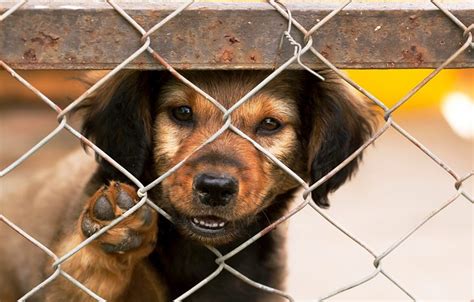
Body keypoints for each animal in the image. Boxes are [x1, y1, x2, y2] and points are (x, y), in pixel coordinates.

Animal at [0, 69, 378, 300]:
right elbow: (80, 275)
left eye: (270, 124)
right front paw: (112, 233)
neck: (194, 254)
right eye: (182, 112)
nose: (215, 187)